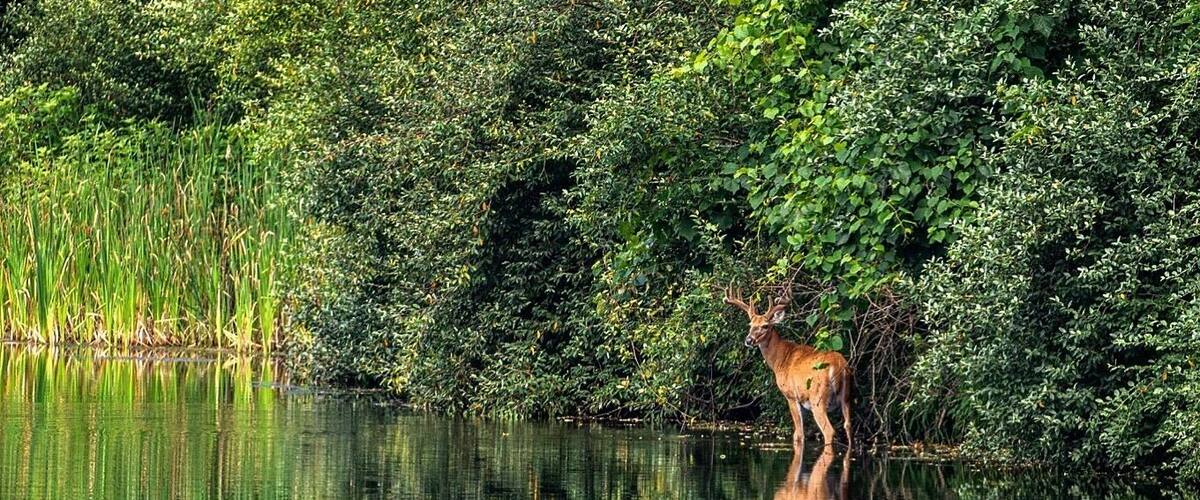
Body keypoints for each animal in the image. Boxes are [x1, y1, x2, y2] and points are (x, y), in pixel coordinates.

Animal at [724, 285, 852, 450]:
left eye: (765, 326)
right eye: (750, 325)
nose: (749, 340)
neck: (780, 360)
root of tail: (838, 366)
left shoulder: (791, 395)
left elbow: (798, 435)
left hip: (817, 398)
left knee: (829, 431)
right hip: (847, 396)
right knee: (848, 426)